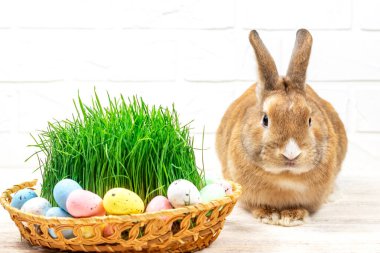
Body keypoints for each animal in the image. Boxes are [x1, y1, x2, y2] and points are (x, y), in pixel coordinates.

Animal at [215, 28, 346, 226]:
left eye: (309, 119)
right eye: (265, 119)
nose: (291, 153)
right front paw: (270, 216)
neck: (285, 176)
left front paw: (292, 217)